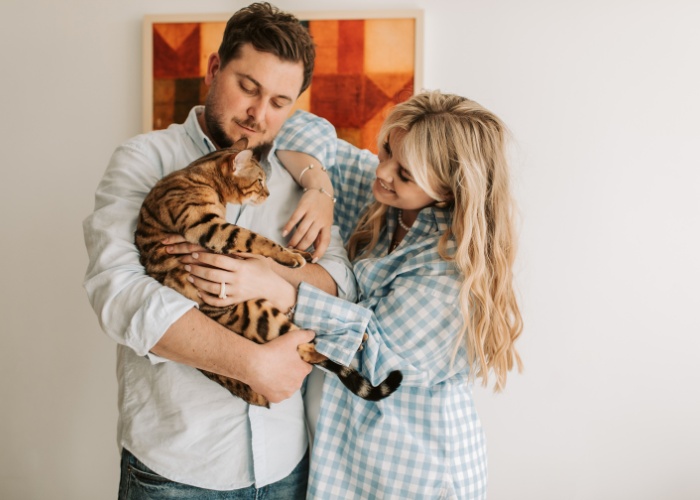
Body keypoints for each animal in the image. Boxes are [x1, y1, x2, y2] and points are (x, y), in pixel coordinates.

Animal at [134, 139, 402, 408]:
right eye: (260, 181)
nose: (268, 194)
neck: (202, 176)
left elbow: (260, 240)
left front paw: (299, 253)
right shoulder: (207, 227)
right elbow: (254, 238)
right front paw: (290, 256)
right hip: (258, 315)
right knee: (304, 350)